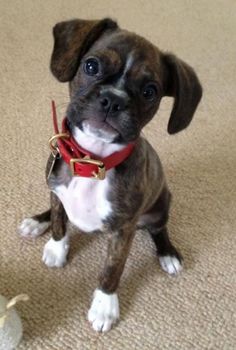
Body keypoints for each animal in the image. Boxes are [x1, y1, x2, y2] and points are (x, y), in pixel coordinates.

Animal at [18, 18, 203, 330]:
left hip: (161, 205)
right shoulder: (57, 190)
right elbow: (58, 221)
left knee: (159, 229)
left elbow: (112, 269)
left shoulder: (122, 231)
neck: (91, 160)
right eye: (91, 66)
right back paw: (36, 222)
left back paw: (167, 254)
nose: (113, 100)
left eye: (150, 91)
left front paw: (105, 305)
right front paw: (57, 248)